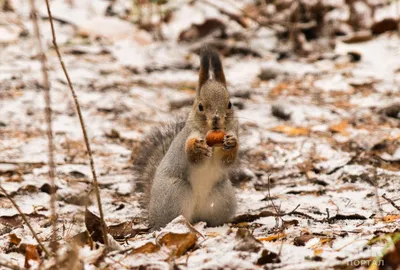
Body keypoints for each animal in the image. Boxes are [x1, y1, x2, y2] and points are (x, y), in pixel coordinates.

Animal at [134, 47, 241, 229]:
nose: (216, 119)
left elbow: (226, 161)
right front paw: (197, 148)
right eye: (200, 106)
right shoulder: (186, 139)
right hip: (175, 194)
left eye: (229, 104)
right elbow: (192, 158)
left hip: (222, 197)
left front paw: (232, 143)